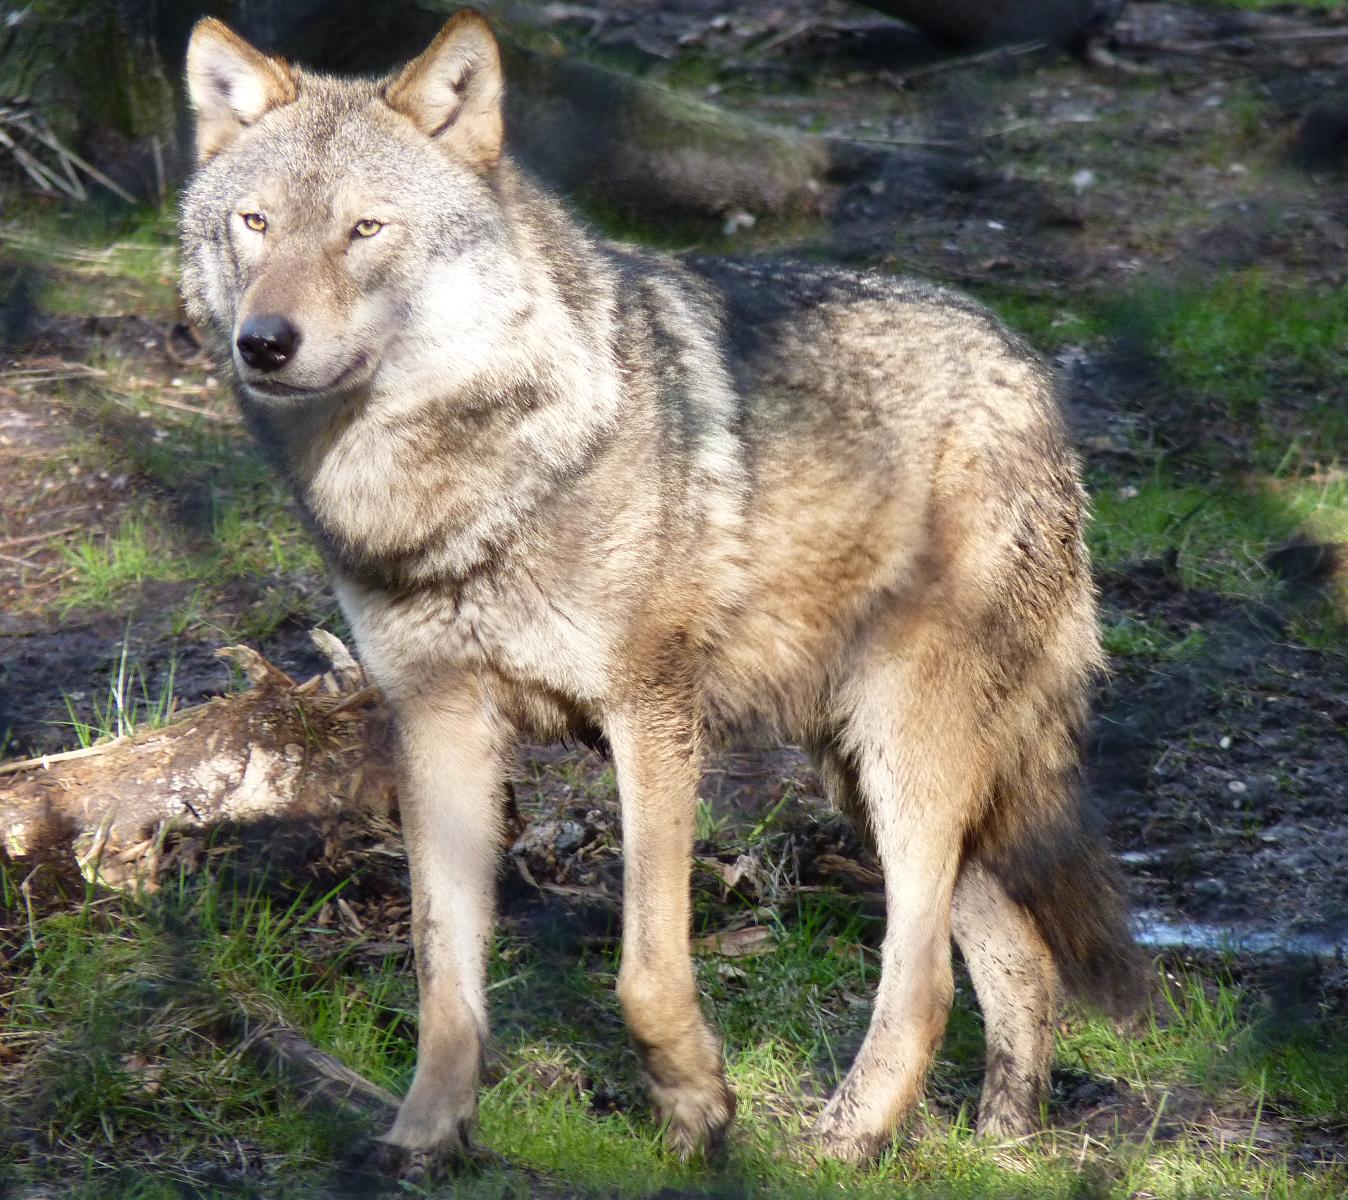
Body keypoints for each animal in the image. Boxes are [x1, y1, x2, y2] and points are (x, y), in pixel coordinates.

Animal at [180, 9, 1143, 1170]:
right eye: (255, 223)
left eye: (366, 229)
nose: (264, 343)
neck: (461, 495)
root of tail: (1029, 367)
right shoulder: (435, 722)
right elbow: (440, 969)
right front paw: (424, 1139)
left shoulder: (650, 717)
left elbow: (645, 969)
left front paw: (697, 1106)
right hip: (861, 771)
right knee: (1012, 955)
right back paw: (997, 1142)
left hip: (904, 754)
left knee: (922, 979)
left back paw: (842, 1141)